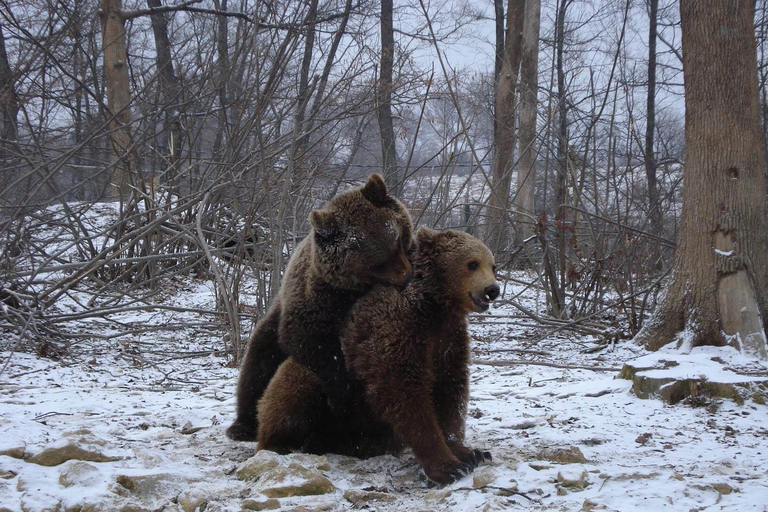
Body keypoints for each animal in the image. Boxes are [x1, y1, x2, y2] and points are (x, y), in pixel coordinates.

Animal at [226, 174, 414, 441]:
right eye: (376, 262)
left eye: (397, 240)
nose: (407, 275)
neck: (351, 289)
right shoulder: (317, 299)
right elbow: (312, 342)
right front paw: (343, 396)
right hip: (271, 329)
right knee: (257, 366)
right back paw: (242, 425)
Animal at [256, 228, 500, 485]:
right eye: (472, 263)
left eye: (493, 266)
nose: (492, 290)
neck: (434, 307)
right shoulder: (396, 331)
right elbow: (405, 392)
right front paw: (449, 466)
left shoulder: (449, 340)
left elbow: (451, 391)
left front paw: (471, 453)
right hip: (323, 379)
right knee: (295, 392)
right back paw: (287, 443)